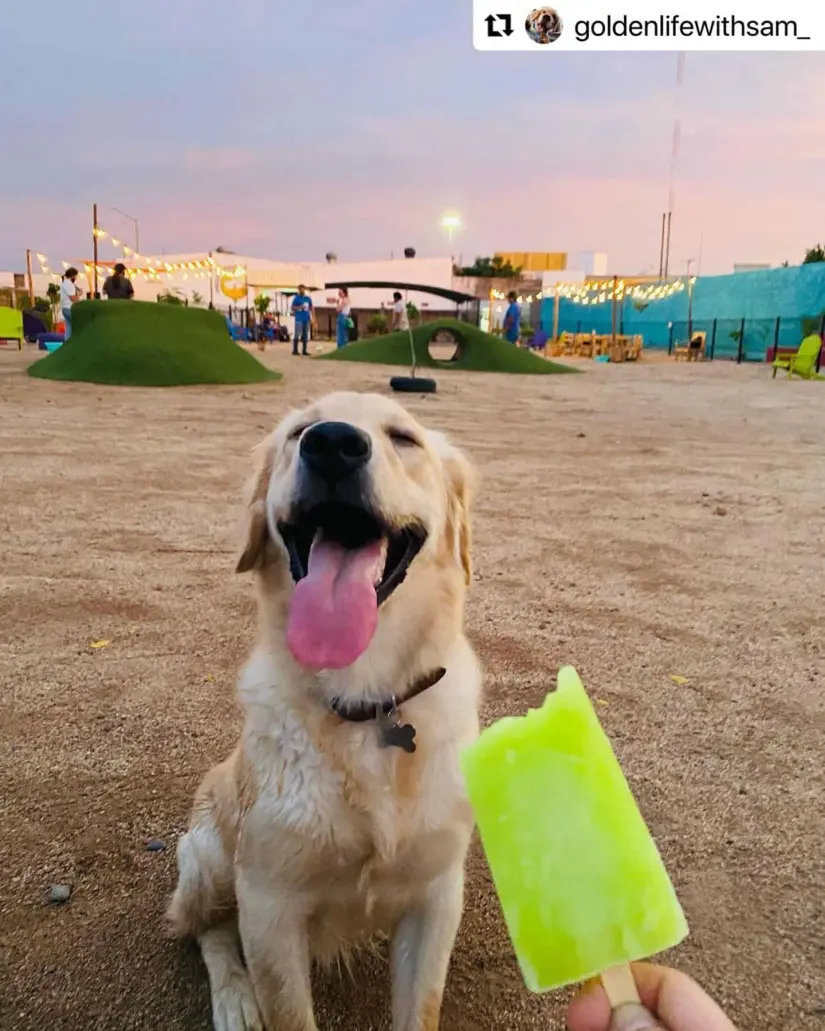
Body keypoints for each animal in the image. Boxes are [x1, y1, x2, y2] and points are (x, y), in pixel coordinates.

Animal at [167, 389, 482, 1026]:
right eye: (299, 433)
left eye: (404, 438)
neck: (366, 700)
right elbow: (286, 1009)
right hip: (208, 858)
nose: (332, 443)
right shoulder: (269, 908)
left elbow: (421, 1009)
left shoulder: (437, 896)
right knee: (205, 929)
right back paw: (234, 999)